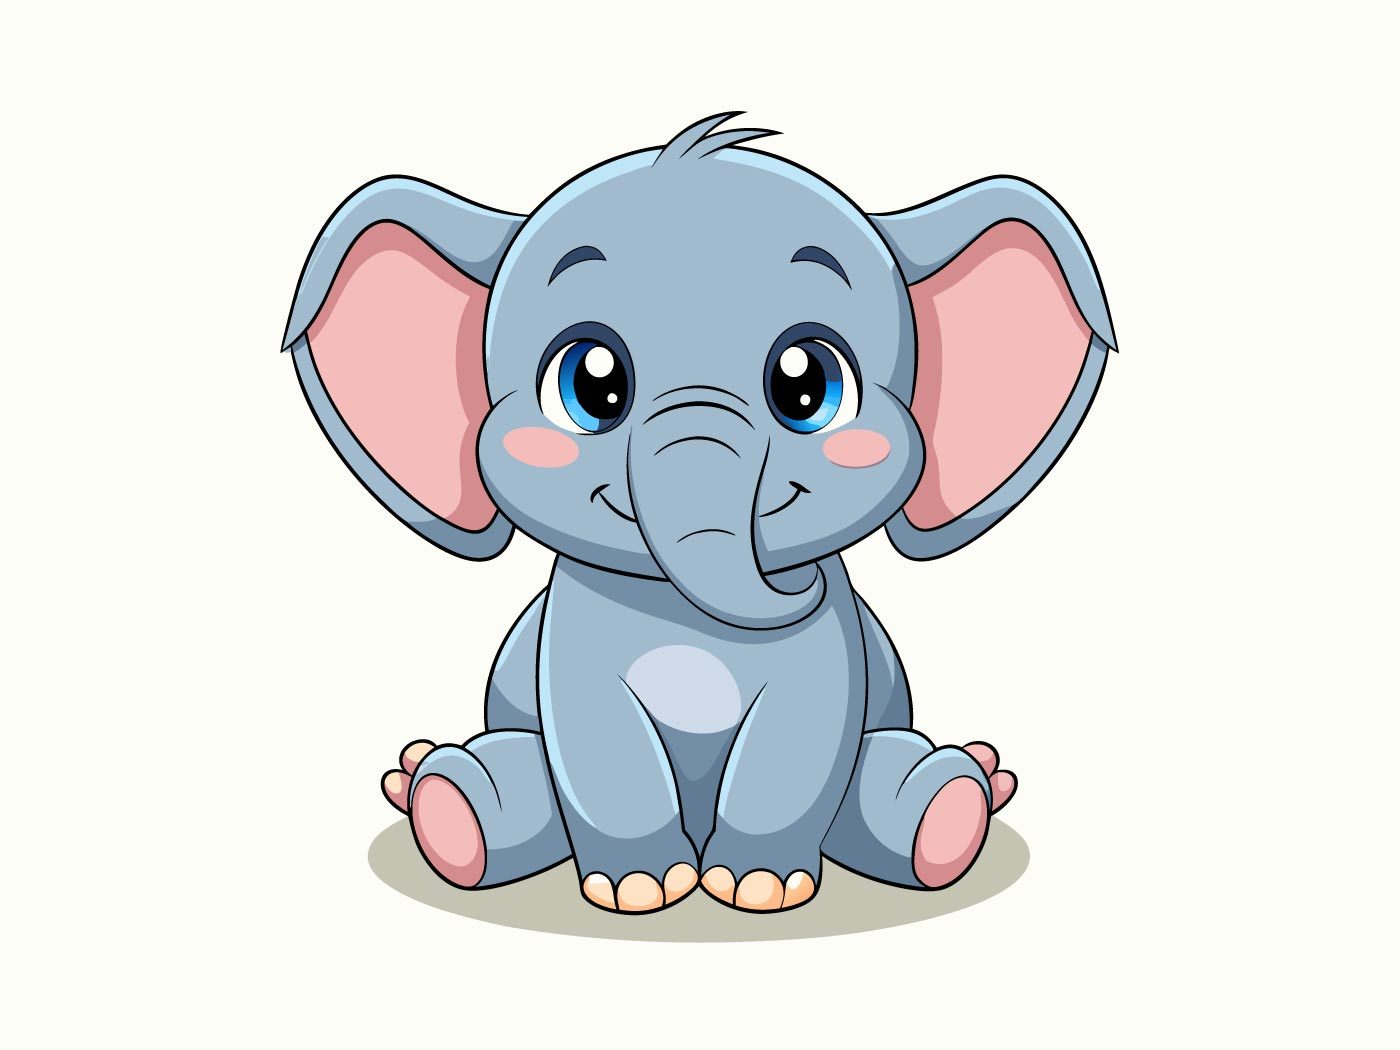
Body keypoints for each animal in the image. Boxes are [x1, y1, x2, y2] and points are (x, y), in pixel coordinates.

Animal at [282, 113, 1115, 913]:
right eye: (592, 384)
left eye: (808, 384)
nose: (795, 583)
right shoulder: (574, 633)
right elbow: (595, 734)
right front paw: (640, 890)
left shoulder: (828, 653)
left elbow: (804, 734)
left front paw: (759, 889)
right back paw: (441, 802)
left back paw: (956, 804)